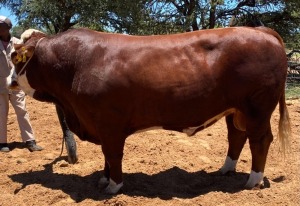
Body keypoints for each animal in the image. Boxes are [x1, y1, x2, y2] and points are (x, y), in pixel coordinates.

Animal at [11, 27, 290, 195]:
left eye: (15, 57)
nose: (10, 82)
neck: (76, 64)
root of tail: (258, 30)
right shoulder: (100, 125)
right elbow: (106, 156)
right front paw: (104, 179)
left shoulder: (109, 124)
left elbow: (113, 154)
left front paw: (114, 186)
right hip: (234, 110)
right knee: (236, 136)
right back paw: (225, 170)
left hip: (257, 108)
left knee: (259, 140)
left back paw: (252, 181)